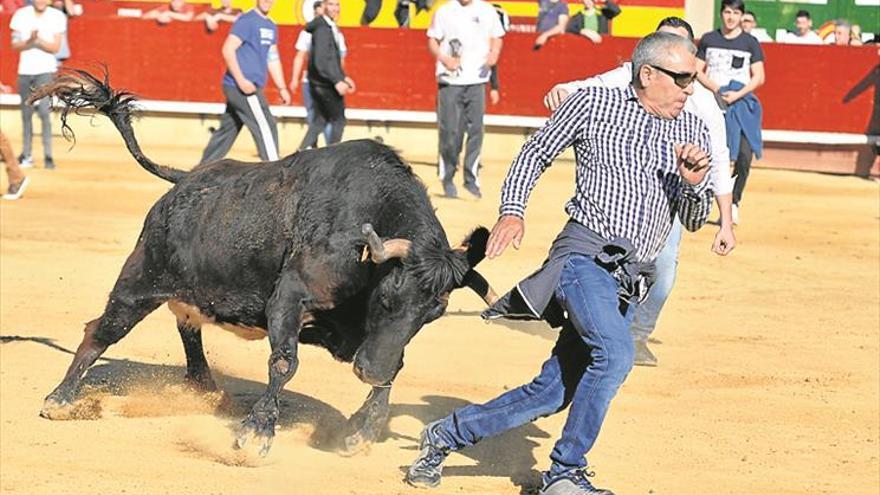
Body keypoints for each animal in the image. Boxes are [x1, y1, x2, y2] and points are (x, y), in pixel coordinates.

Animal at [34, 70, 498, 458]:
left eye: (432, 315)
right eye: (386, 300)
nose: (369, 371)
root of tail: (183, 179)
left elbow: (395, 368)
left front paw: (360, 433)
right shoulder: (290, 299)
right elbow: (284, 362)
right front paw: (256, 433)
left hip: (191, 288)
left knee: (187, 325)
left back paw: (204, 389)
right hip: (140, 280)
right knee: (102, 330)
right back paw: (59, 400)